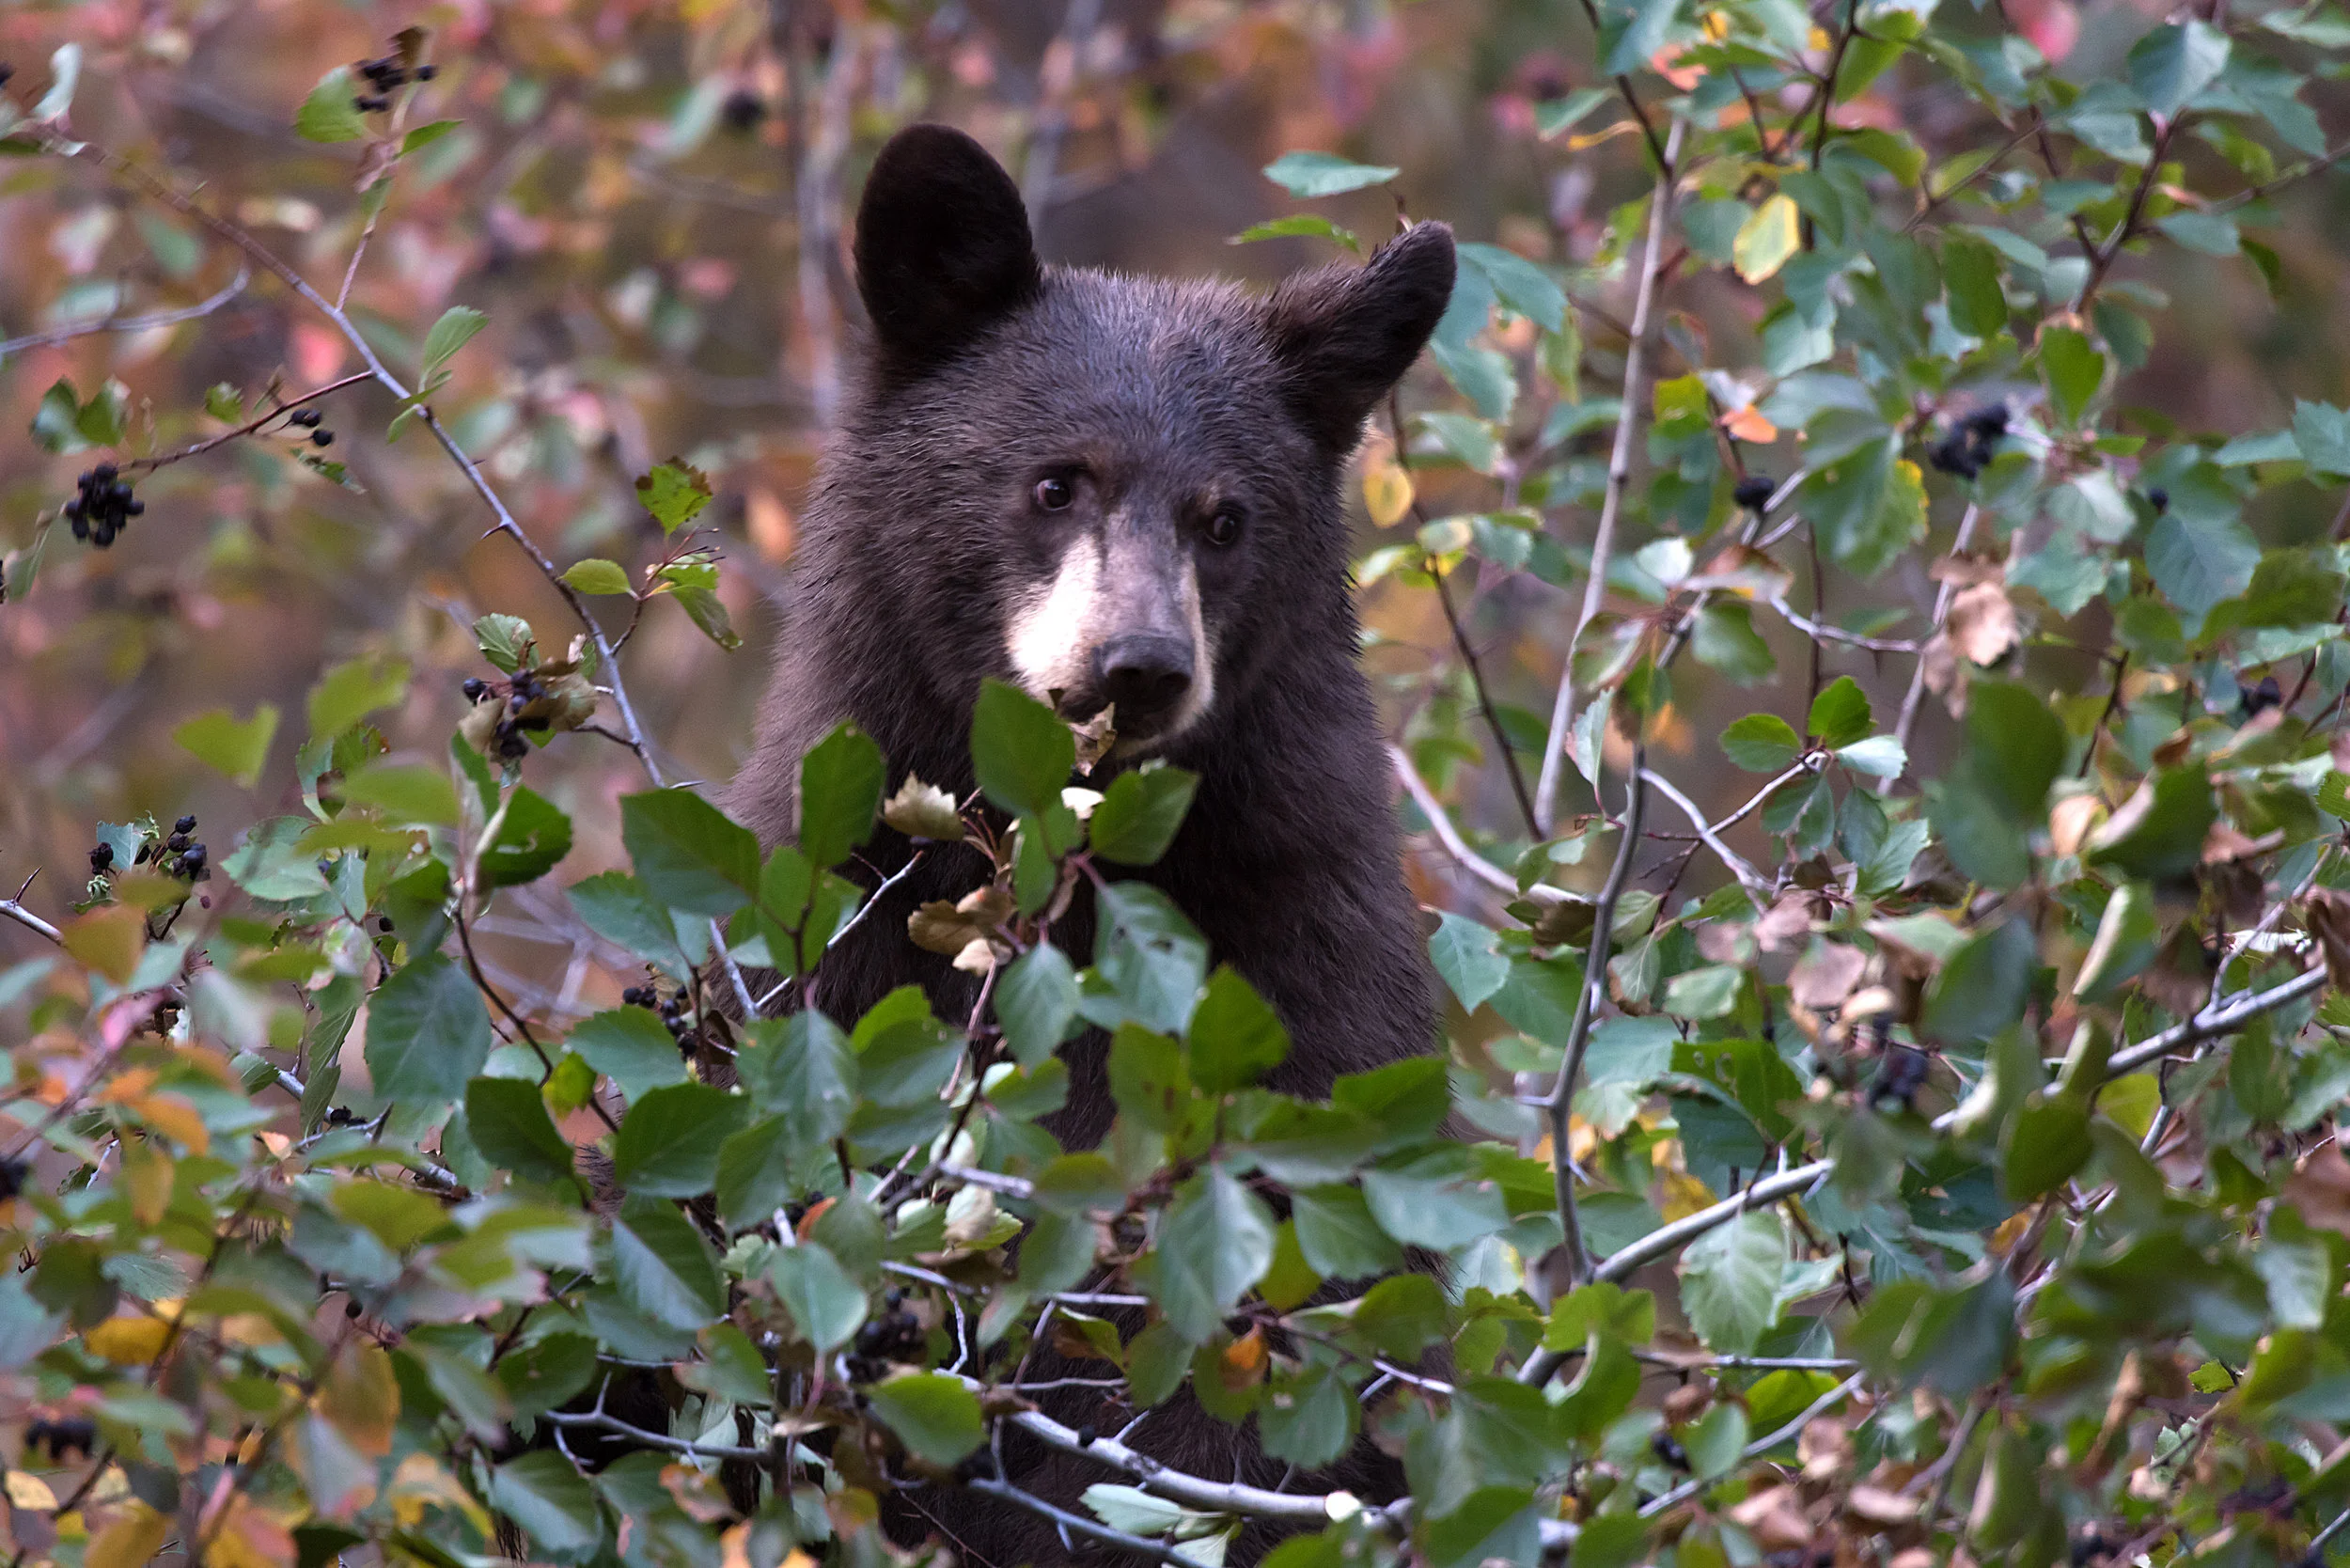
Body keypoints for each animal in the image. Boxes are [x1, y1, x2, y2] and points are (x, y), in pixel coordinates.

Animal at [722, 123, 1453, 1562]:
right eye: (1055, 483)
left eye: (1225, 520)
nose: (1139, 667)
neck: (1077, 886)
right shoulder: (826, 957)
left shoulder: (1308, 986)